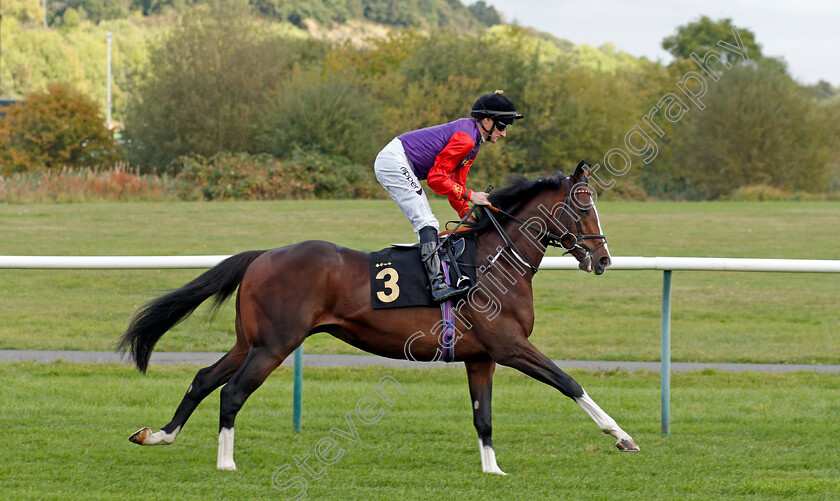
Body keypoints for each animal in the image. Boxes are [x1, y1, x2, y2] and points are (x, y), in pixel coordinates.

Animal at [118, 163, 640, 472]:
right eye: (584, 203)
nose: (603, 259)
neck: (495, 261)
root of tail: (263, 255)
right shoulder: (510, 346)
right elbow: (570, 382)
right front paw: (622, 437)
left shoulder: (481, 357)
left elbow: (483, 416)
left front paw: (492, 469)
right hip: (274, 345)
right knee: (231, 392)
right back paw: (226, 463)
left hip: (250, 341)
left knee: (204, 379)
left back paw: (159, 435)